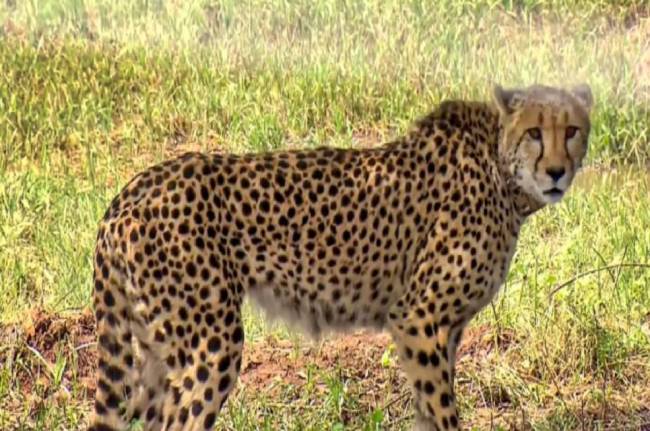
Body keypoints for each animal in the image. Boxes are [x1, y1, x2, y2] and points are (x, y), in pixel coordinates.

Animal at [88, 83, 593, 431]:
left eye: (572, 131)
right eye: (534, 132)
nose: (556, 172)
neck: (502, 171)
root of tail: (130, 191)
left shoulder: (441, 331)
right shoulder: (418, 317)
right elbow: (443, 412)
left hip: (156, 349)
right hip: (209, 344)